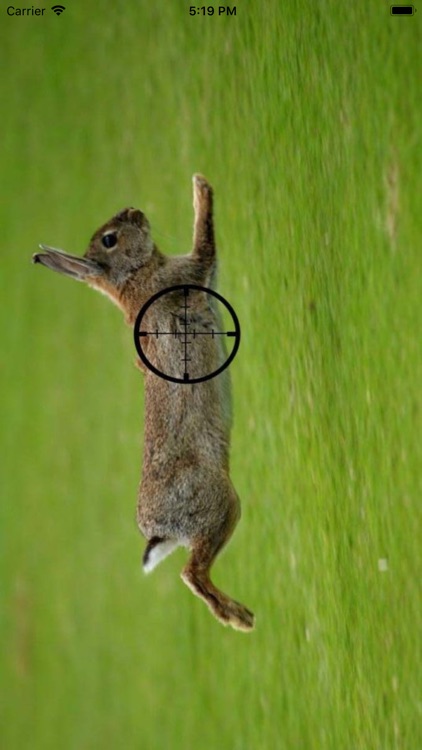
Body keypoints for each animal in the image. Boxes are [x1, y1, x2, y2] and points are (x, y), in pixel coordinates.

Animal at [33, 175, 255, 632]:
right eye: (110, 239)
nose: (133, 210)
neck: (135, 275)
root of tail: (158, 529)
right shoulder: (192, 267)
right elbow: (205, 237)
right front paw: (201, 189)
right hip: (218, 502)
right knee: (192, 573)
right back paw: (240, 618)